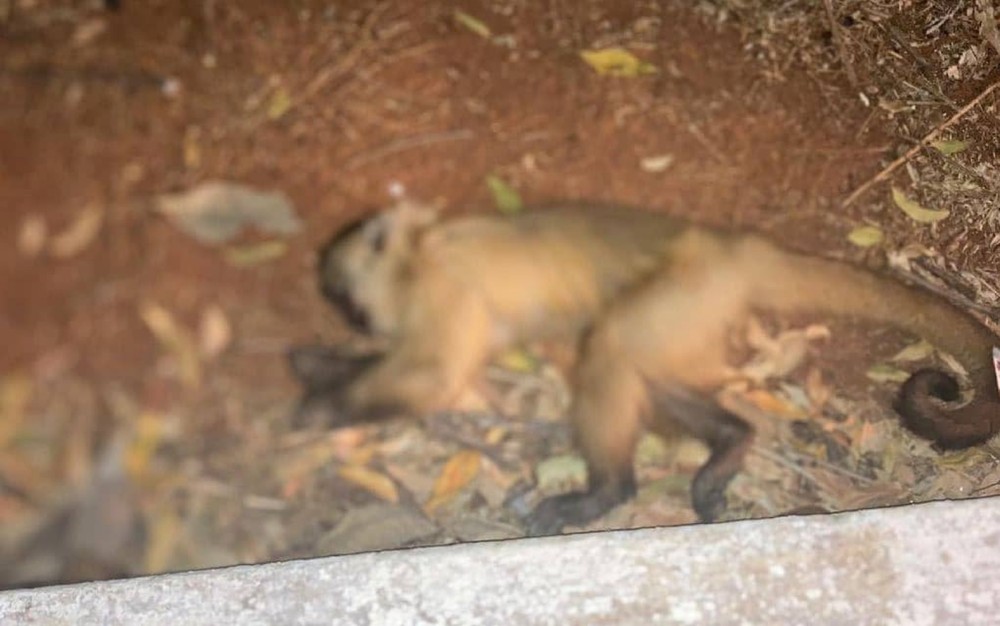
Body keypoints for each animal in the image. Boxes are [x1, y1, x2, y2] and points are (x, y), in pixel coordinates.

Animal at [288, 199, 1000, 536]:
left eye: (344, 298)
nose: (359, 321)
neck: (418, 255)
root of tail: (733, 247)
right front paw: (319, 364)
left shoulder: (442, 291)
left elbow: (435, 375)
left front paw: (325, 408)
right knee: (642, 367)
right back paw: (730, 443)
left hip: (691, 287)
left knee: (610, 347)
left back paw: (606, 491)